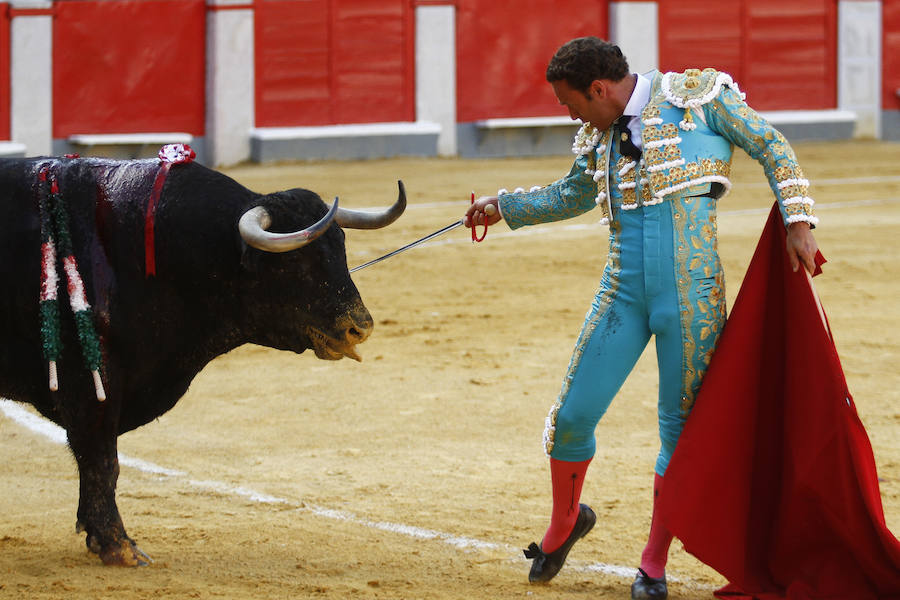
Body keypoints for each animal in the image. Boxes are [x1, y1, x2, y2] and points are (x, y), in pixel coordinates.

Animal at [0, 157, 404, 564]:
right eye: (297, 262)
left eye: (341, 248)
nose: (360, 327)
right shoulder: (89, 380)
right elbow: (101, 459)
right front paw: (118, 546)